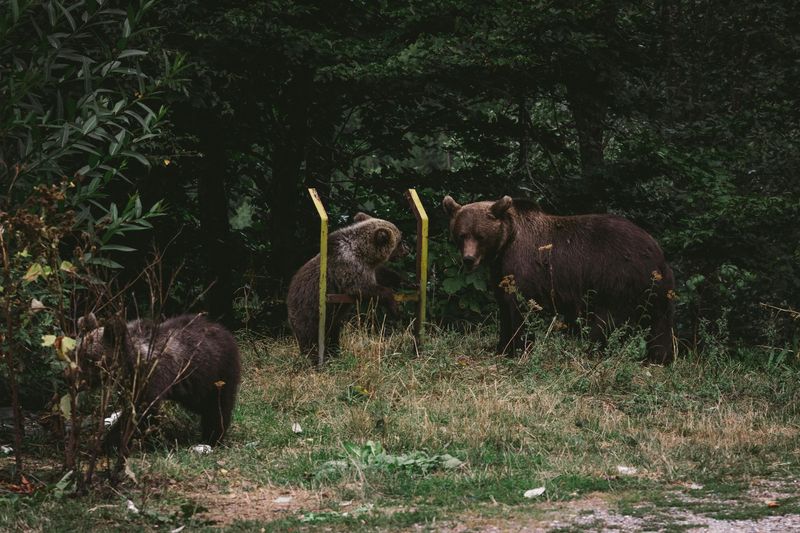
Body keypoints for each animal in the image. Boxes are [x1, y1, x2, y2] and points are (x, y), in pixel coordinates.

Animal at [77, 312, 241, 445]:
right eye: (78, 354)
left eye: (89, 358)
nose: (76, 382)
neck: (131, 361)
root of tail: (224, 330)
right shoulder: (129, 383)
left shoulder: (152, 376)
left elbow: (143, 410)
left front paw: (110, 442)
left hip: (216, 372)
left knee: (217, 407)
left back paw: (212, 438)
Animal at [287, 212, 406, 364]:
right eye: (399, 241)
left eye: (401, 237)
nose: (407, 249)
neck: (364, 253)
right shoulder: (348, 266)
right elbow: (362, 289)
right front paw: (395, 309)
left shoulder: (369, 269)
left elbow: (382, 275)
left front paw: (408, 282)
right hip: (308, 312)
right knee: (309, 338)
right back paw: (314, 359)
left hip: (331, 319)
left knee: (333, 334)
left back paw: (334, 353)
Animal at [443, 195, 675, 364]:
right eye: (462, 234)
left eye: (480, 236)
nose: (469, 259)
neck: (505, 243)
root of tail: (656, 250)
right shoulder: (500, 272)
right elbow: (505, 307)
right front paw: (501, 347)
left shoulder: (522, 266)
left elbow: (520, 308)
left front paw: (518, 349)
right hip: (655, 289)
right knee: (660, 323)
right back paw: (659, 358)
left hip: (618, 277)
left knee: (606, 320)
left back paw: (590, 352)